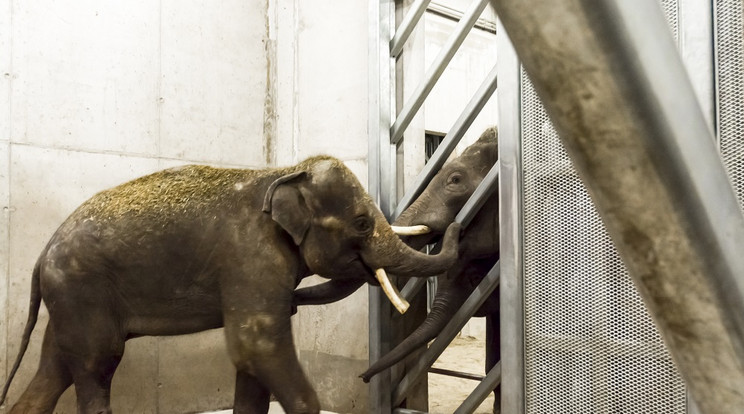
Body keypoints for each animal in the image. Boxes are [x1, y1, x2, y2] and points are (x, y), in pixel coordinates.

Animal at [0, 155, 462, 414]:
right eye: (363, 224)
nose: (457, 225)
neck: (284, 172)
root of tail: (41, 255)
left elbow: (250, 359)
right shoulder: (250, 257)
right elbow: (255, 344)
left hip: (69, 299)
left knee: (55, 367)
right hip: (82, 290)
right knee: (98, 362)